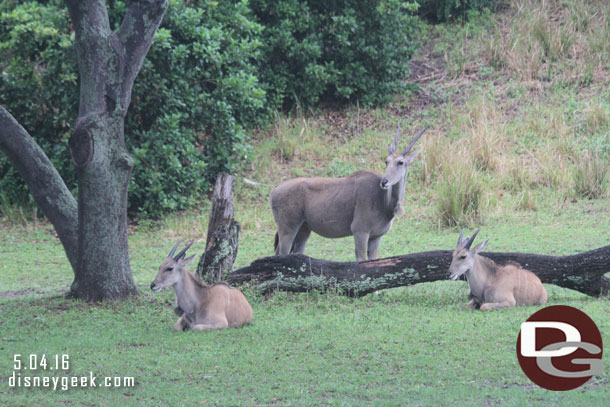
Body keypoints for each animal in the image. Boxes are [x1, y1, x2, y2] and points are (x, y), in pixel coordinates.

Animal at [268, 126, 426, 262]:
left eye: (400, 162)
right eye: (386, 161)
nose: (384, 182)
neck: (383, 202)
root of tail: (275, 188)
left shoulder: (376, 237)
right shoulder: (360, 231)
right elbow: (361, 260)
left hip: (304, 230)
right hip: (287, 229)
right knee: (280, 253)